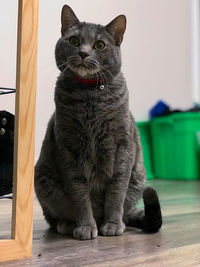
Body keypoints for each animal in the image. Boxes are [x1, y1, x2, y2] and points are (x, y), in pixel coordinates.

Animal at [34, 5, 162, 241]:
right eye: (74, 40)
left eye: (99, 45)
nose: (83, 52)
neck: (90, 95)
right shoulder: (68, 148)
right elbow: (79, 194)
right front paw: (85, 226)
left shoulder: (123, 146)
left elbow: (116, 191)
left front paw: (112, 224)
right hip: (43, 179)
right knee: (53, 218)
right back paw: (67, 223)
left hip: (138, 175)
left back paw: (115, 221)